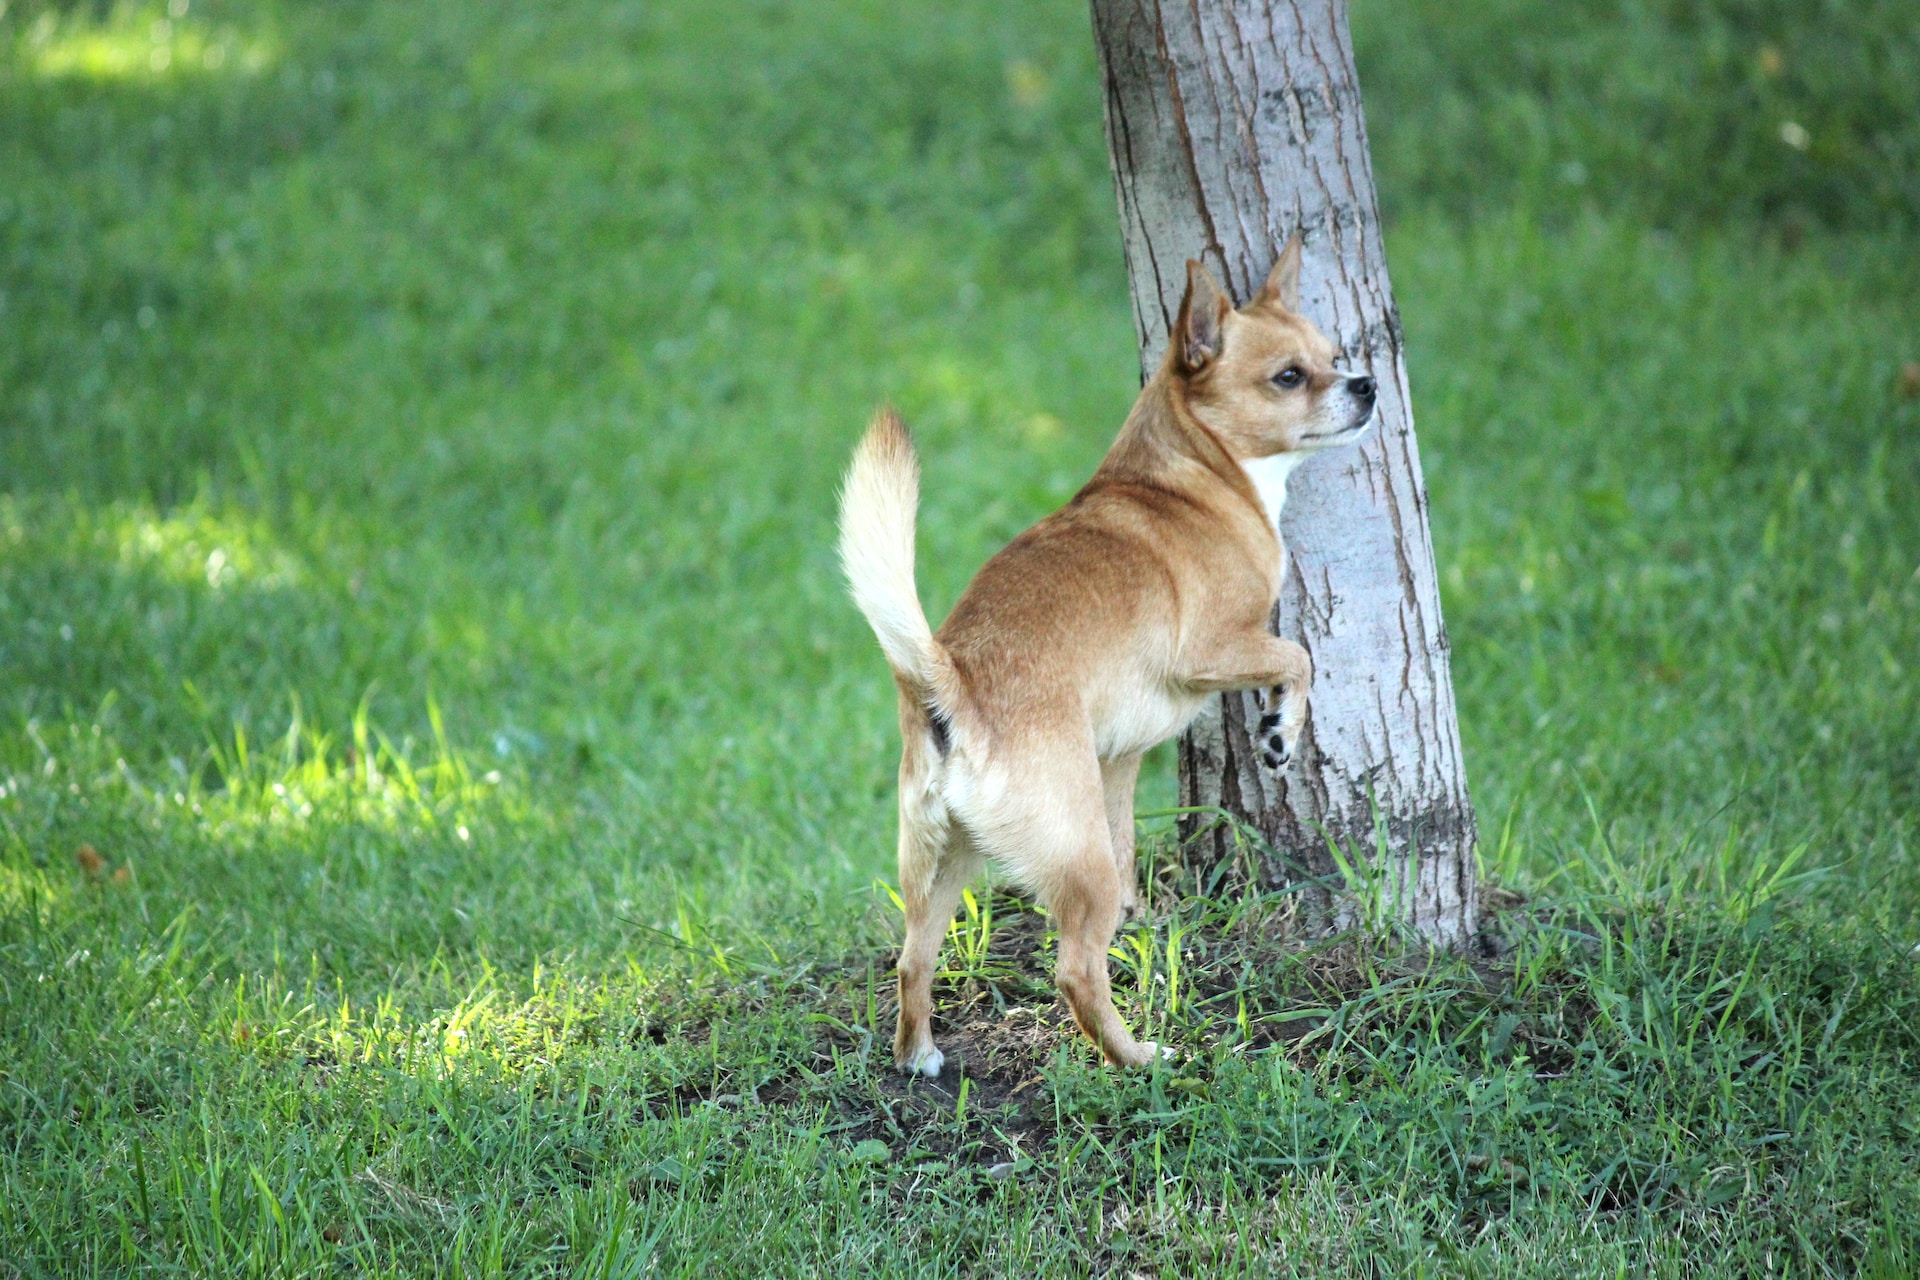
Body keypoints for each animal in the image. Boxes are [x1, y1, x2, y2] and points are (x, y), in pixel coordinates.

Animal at [837, 237, 1367, 1074]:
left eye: (1335, 357)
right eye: (1290, 376)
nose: (1368, 384)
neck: (1196, 474)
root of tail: (953, 680)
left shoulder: (1115, 764)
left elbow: (1127, 858)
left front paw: (1143, 918)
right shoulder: (1215, 650)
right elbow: (1296, 657)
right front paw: (1280, 731)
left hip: (941, 858)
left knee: (914, 956)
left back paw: (917, 1053)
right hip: (1063, 861)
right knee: (1075, 970)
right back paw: (1139, 1059)